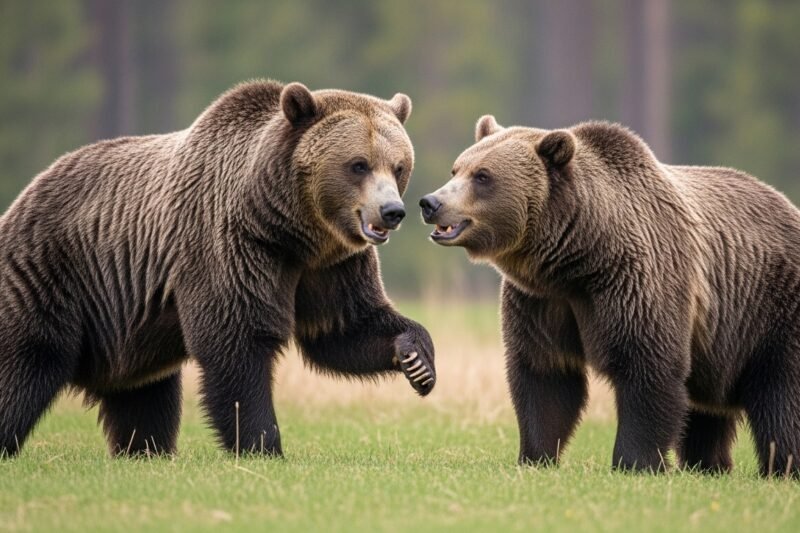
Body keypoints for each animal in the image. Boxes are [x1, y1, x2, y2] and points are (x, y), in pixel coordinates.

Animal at [0, 80, 436, 458]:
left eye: (398, 166)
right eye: (358, 165)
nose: (392, 211)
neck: (290, 227)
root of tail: (24, 195)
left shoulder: (330, 265)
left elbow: (344, 326)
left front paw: (417, 361)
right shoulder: (228, 245)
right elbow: (236, 341)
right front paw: (263, 444)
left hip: (124, 326)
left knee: (145, 396)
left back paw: (146, 450)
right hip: (52, 274)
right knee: (26, 365)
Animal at [420, 115, 800, 476]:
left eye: (483, 176)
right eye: (457, 168)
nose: (431, 202)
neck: (579, 257)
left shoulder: (637, 281)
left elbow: (647, 367)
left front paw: (635, 461)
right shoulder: (541, 301)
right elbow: (545, 376)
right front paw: (535, 456)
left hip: (773, 309)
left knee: (781, 398)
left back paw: (781, 465)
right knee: (708, 413)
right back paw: (708, 465)